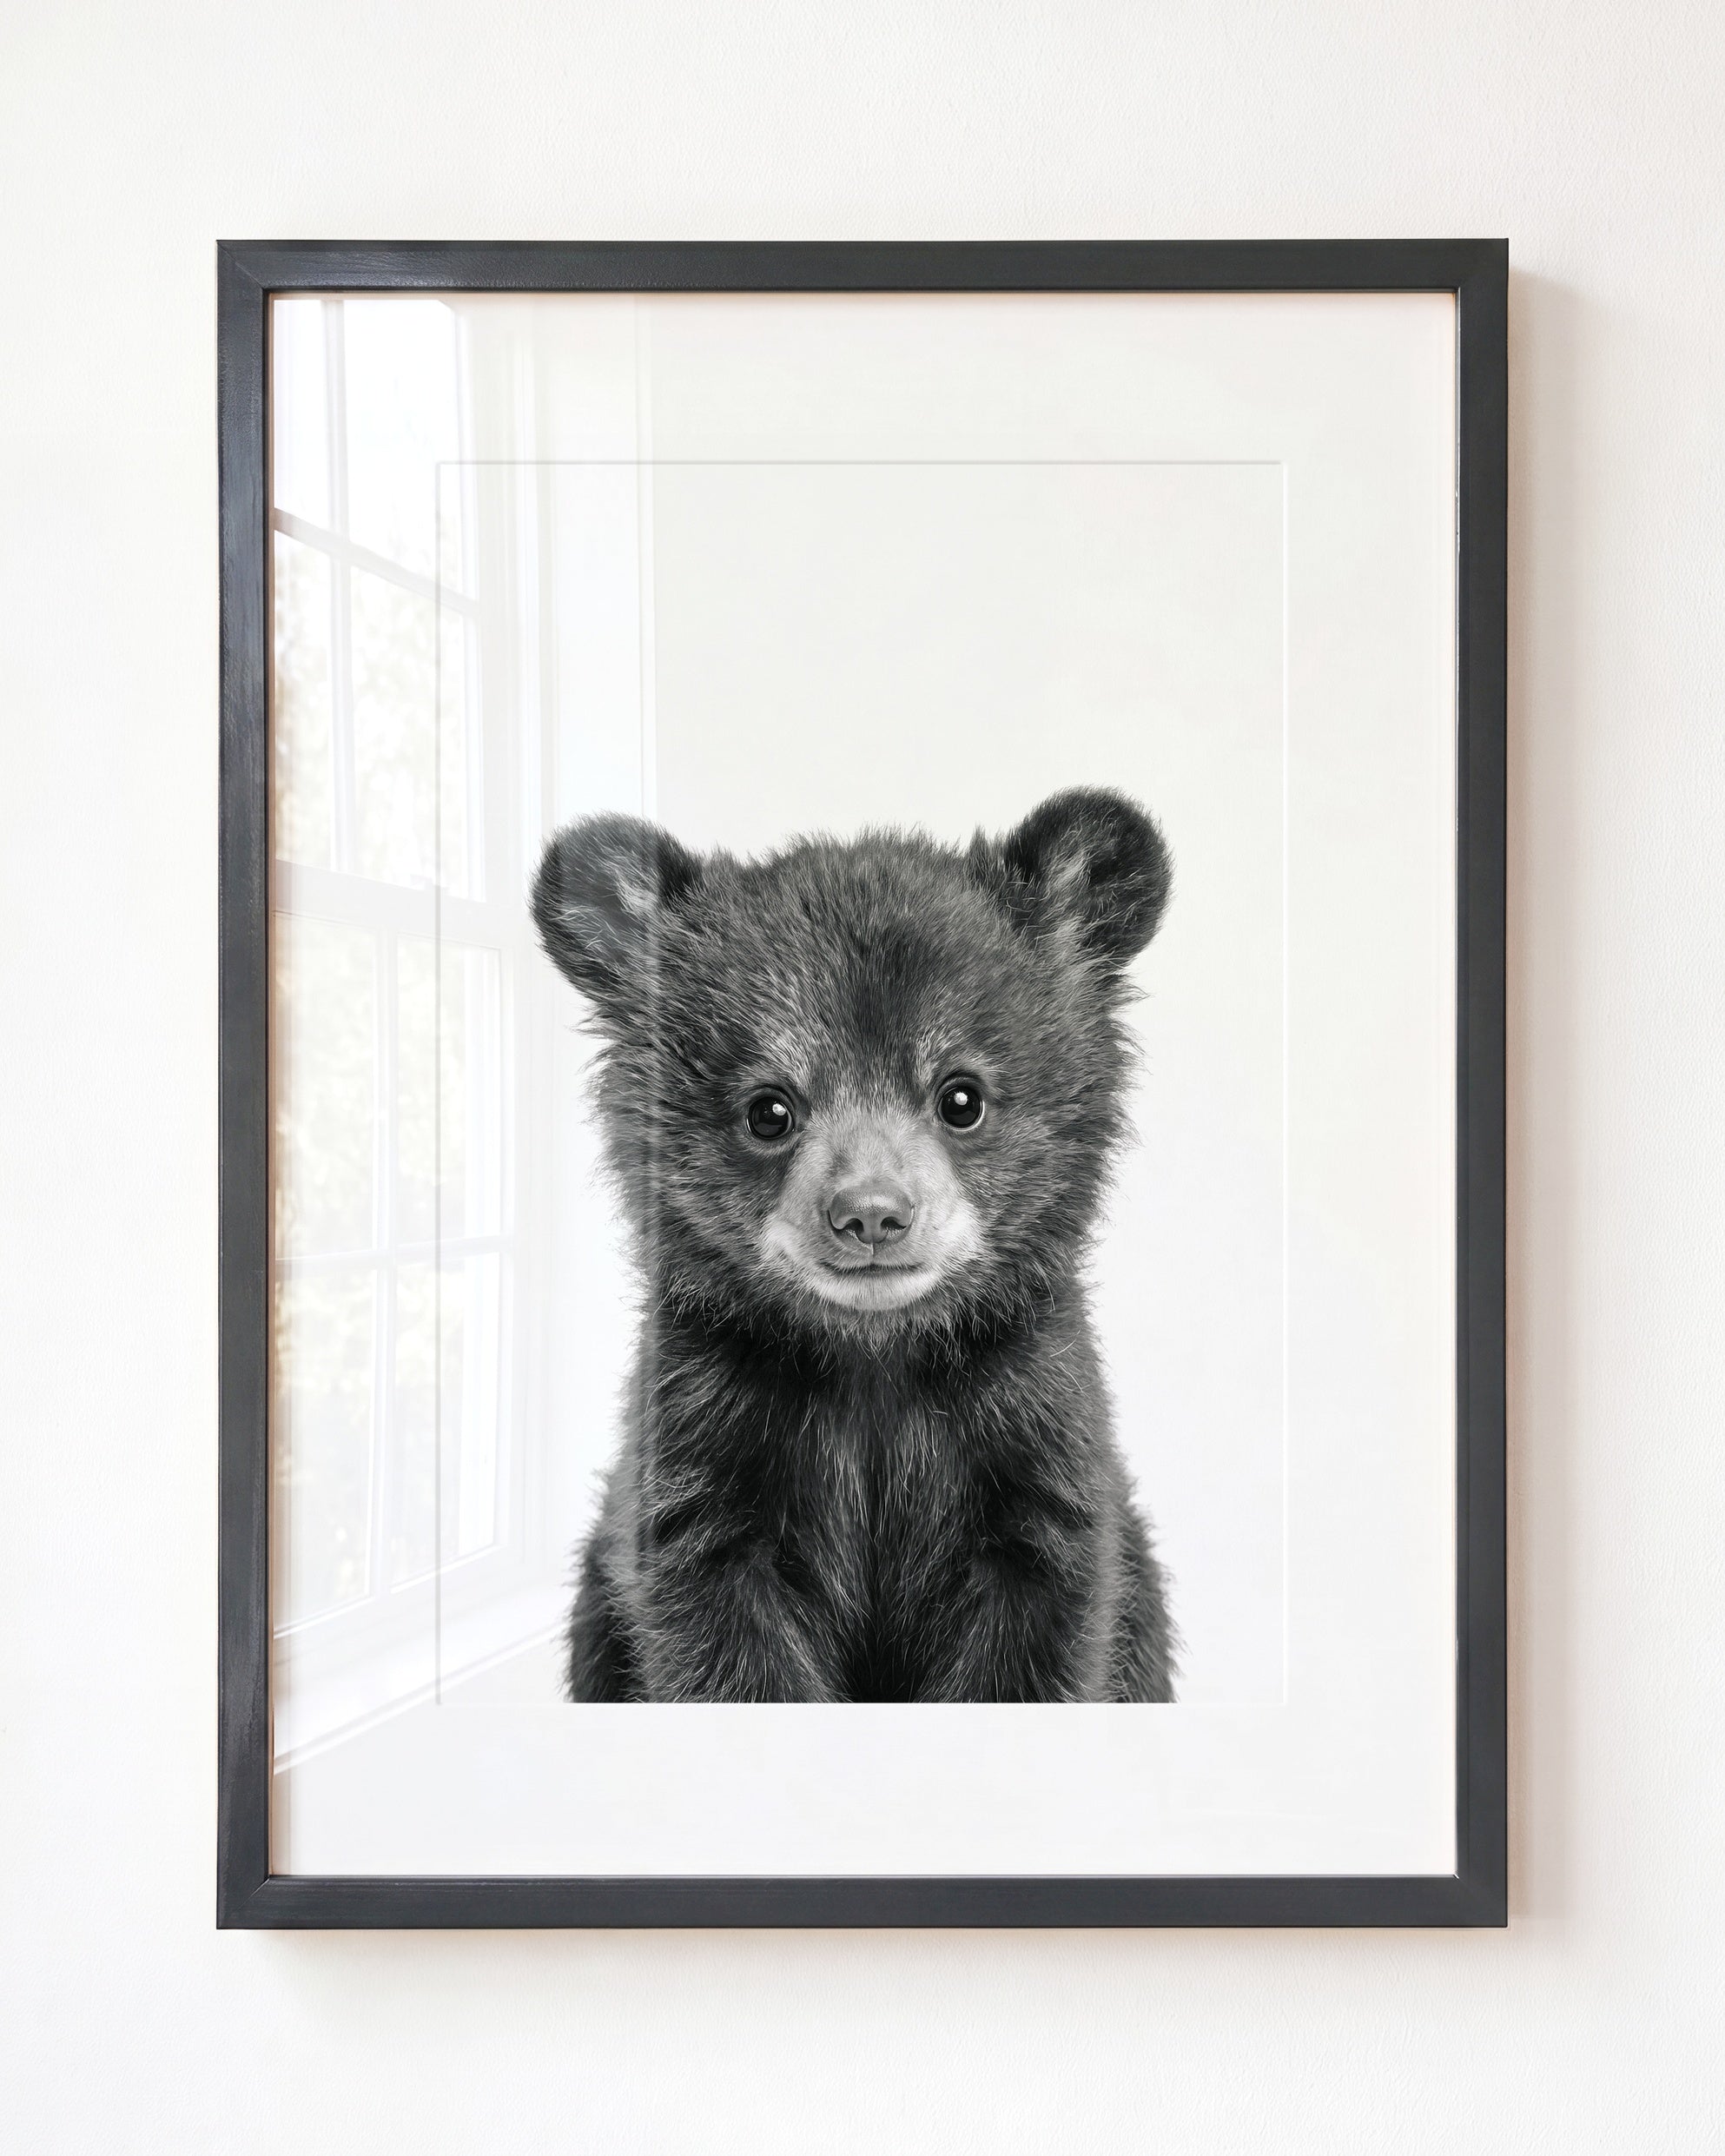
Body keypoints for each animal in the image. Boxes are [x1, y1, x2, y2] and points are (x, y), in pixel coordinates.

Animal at [530, 787, 1178, 1703]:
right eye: (769, 1109)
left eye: (962, 1097)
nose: (871, 1215)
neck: (874, 1359)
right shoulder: (701, 1448)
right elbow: (719, 1639)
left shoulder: (1034, 1439)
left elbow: (1038, 1632)